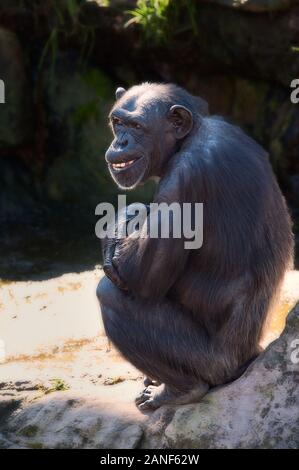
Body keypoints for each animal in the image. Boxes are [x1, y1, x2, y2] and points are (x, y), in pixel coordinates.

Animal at [96, 82, 296, 410]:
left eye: (137, 127)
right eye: (118, 122)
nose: (121, 141)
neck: (188, 139)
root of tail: (250, 357)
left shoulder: (182, 181)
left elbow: (140, 279)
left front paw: (124, 219)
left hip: (210, 363)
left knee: (111, 295)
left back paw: (180, 390)